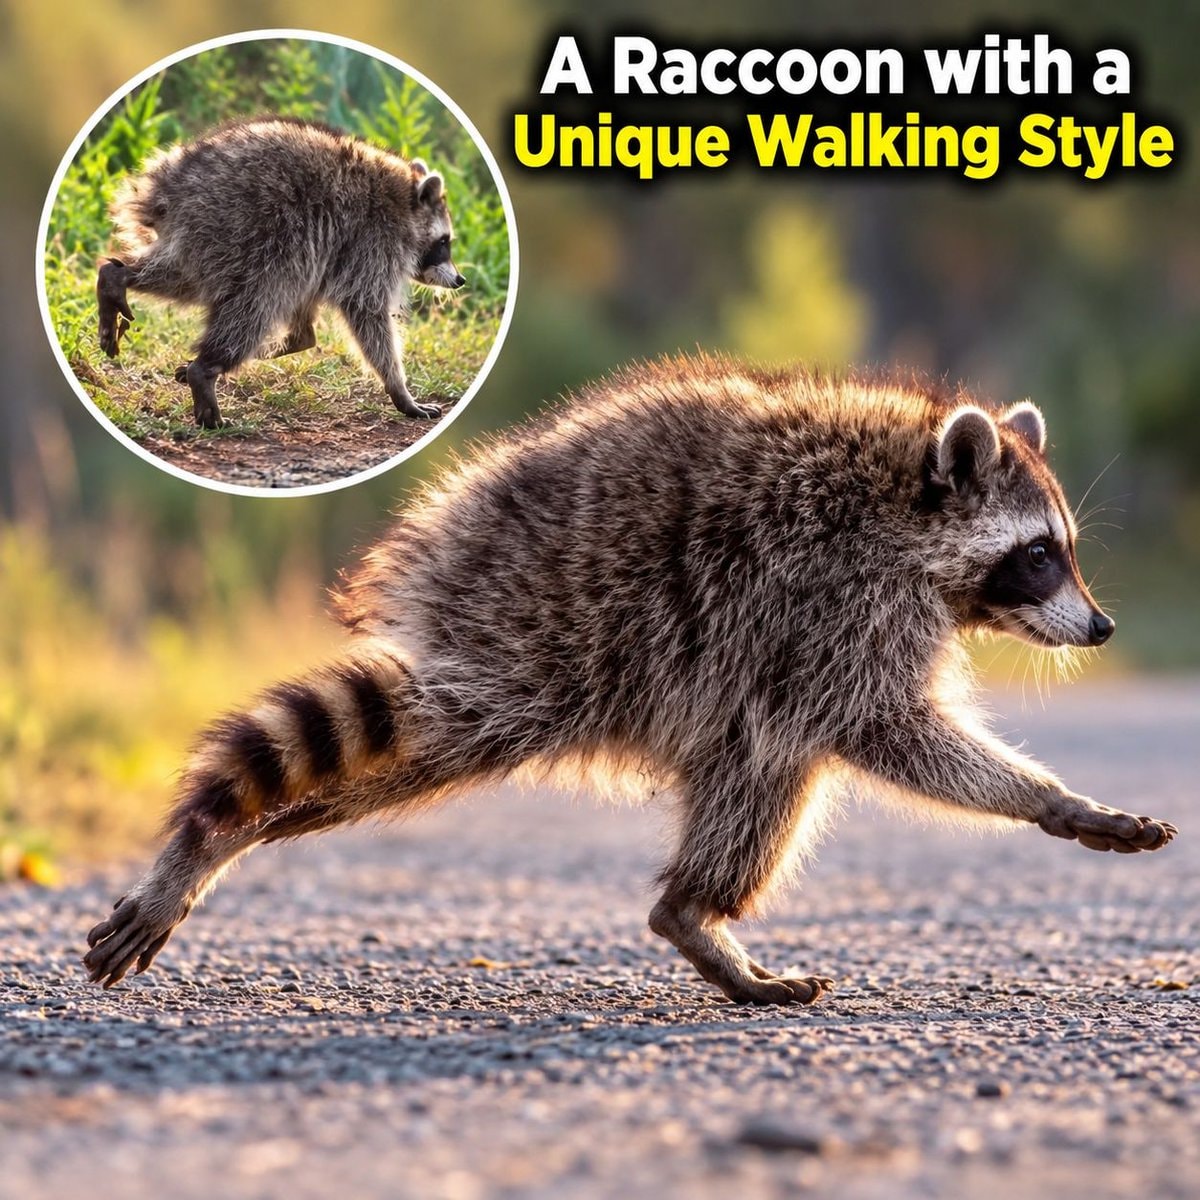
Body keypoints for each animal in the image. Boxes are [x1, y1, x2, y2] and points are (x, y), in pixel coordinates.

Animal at [84, 357, 1177, 1002]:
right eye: (1038, 555)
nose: (1101, 626)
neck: (906, 506)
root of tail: (445, 554)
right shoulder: (841, 603)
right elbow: (888, 729)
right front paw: (1045, 798)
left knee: (747, 759)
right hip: (553, 637)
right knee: (766, 761)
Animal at [95, 116, 465, 429]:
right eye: (444, 242)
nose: (460, 280)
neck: (404, 201)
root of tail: (169, 184)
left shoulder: (331, 252)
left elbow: (307, 318)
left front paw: (282, 343)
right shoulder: (372, 241)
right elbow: (366, 310)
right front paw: (399, 389)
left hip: (210, 236)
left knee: (181, 277)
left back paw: (117, 278)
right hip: (242, 225)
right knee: (257, 302)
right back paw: (207, 368)